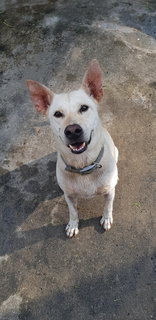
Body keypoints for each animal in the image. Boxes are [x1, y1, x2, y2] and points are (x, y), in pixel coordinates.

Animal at [26, 58, 119, 236]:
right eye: (57, 114)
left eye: (84, 108)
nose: (73, 130)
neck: (83, 165)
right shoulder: (68, 196)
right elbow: (73, 211)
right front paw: (73, 224)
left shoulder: (109, 191)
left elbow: (107, 206)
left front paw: (106, 218)